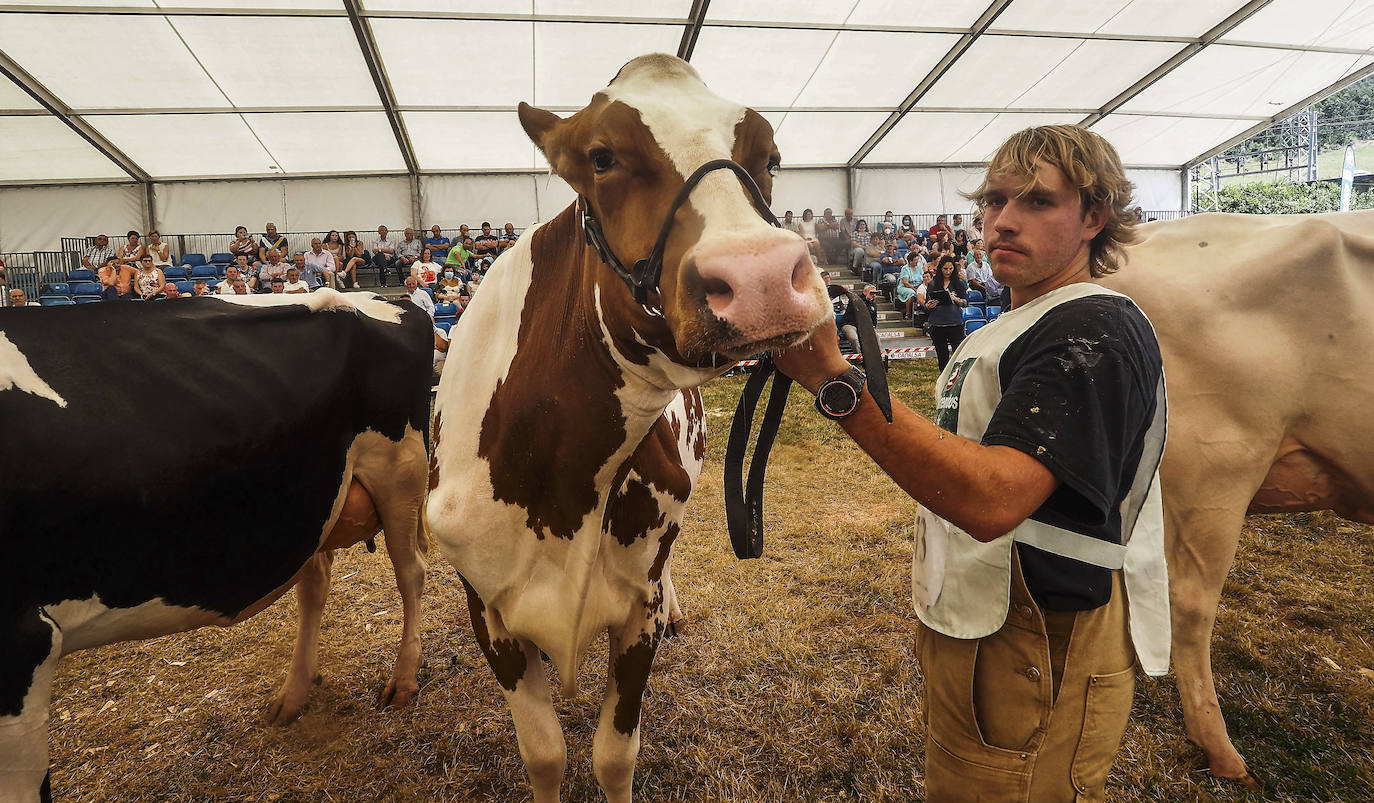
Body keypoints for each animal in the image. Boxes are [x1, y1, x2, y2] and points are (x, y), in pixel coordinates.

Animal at [1, 291, 428, 797]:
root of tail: (386, 296)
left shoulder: (22, 645)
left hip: (401, 470)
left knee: (410, 572)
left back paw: (403, 681)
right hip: (313, 500)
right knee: (315, 584)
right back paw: (294, 694)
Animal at [423, 53, 824, 797]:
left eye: (771, 157)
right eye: (601, 157)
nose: (761, 280)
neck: (563, 481)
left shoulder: (636, 610)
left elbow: (614, 751)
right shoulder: (486, 610)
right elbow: (544, 752)